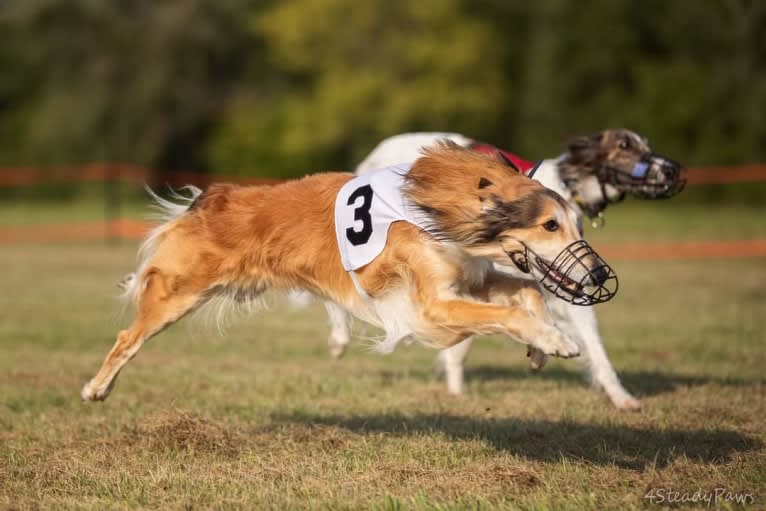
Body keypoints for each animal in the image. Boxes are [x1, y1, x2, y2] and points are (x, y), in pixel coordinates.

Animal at [82, 142, 616, 402]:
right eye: (550, 224)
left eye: (576, 223)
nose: (595, 276)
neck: (443, 208)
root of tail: (211, 198)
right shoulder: (428, 308)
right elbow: (508, 312)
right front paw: (555, 341)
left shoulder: (470, 278)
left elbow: (528, 294)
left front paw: (541, 347)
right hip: (177, 293)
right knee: (125, 339)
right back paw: (96, 388)